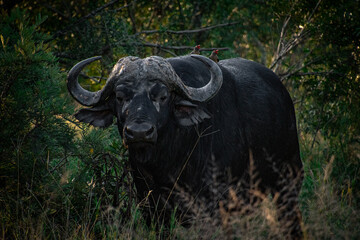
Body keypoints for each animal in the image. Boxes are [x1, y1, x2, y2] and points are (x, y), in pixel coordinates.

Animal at [67, 54, 304, 238]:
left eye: (163, 96)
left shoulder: (214, 207)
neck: (168, 164)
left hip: (289, 184)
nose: (139, 132)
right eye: (119, 96)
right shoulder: (152, 208)